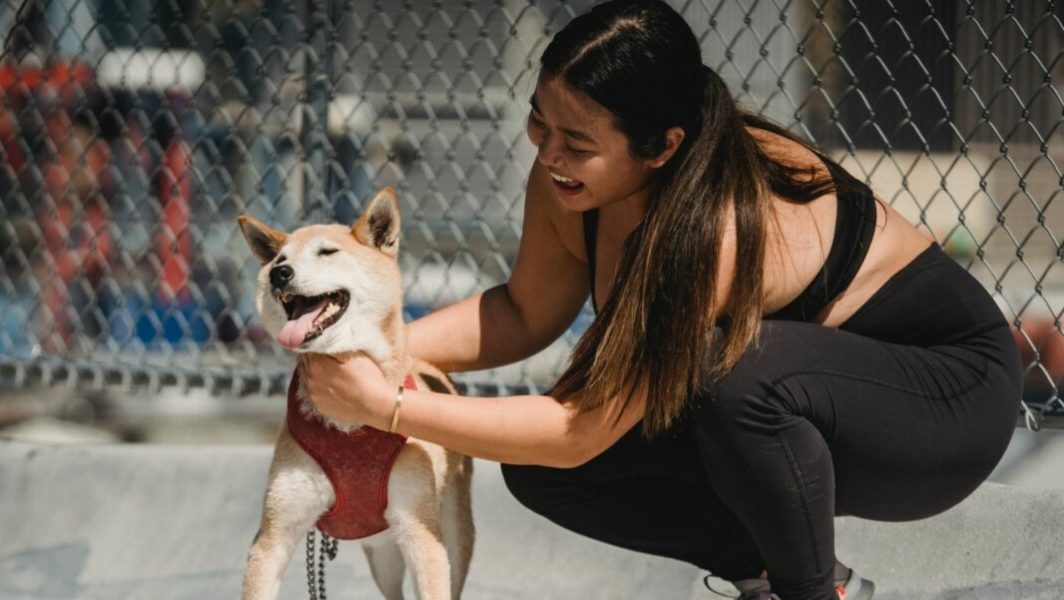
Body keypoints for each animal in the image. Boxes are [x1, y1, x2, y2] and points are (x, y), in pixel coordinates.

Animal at [241, 187, 474, 600]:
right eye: (280, 260)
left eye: (327, 252)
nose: (279, 274)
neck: (348, 426)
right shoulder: (274, 534)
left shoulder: (422, 536)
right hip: (382, 555)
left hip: (452, 538)